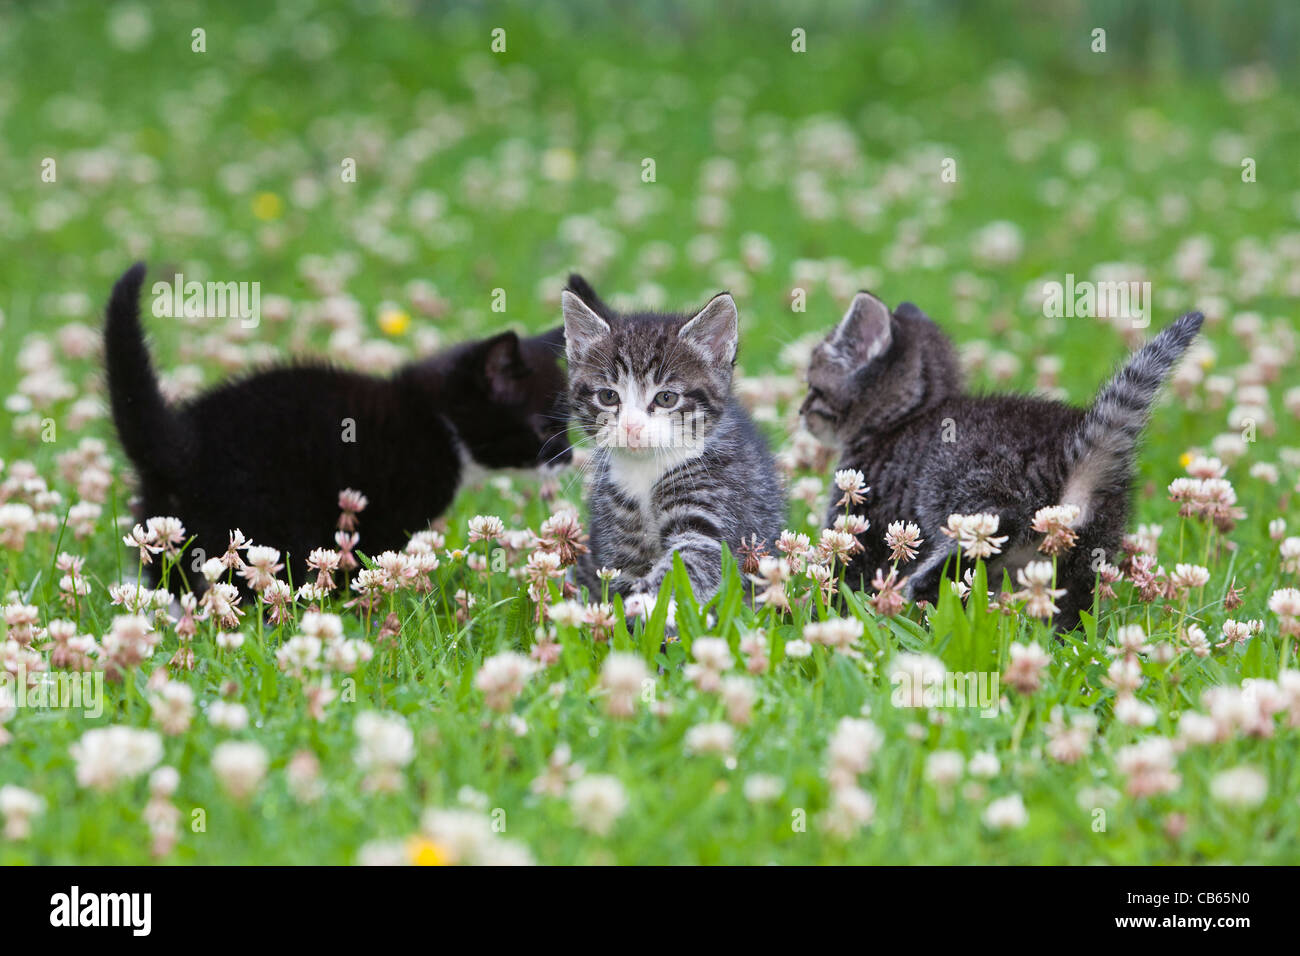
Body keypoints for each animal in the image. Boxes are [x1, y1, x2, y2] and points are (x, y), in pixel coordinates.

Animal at [101, 264, 569, 590]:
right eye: (545, 430)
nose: (568, 458)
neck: (436, 415)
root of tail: (181, 442)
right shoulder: (383, 513)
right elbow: (363, 561)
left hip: (167, 522)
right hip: (263, 514)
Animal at [561, 277, 780, 613]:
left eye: (666, 398)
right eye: (608, 396)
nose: (632, 427)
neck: (646, 470)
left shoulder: (715, 506)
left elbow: (688, 564)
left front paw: (645, 602)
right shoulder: (617, 533)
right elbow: (619, 576)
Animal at [800, 293, 1206, 634]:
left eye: (813, 388)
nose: (801, 413)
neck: (904, 418)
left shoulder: (864, 517)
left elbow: (844, 570)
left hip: (970, 487)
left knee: (996, 523)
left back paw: (926, 582)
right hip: (1087, 553)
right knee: (1071, 609)